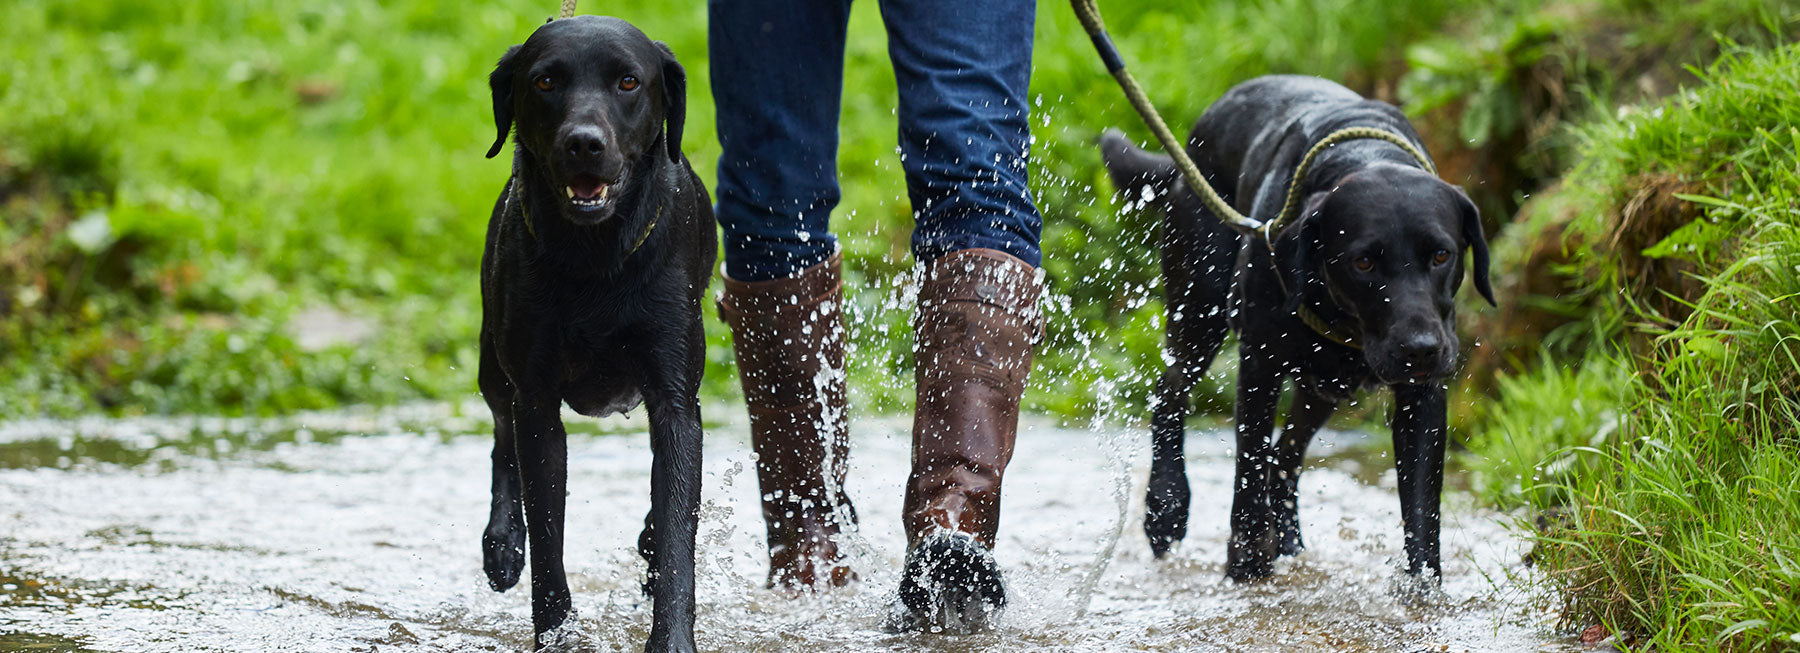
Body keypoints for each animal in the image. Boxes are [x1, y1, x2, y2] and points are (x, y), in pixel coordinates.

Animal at [478, 16, 716, 653]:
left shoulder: (675, 397)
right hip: (492, 363)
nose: (584, 142)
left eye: (629, 81)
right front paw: (555, 633)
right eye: (546, 80)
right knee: (501, 434)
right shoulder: (537, 401)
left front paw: (672, 638)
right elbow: (547, 534)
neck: (595, 261)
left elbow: (678, 526)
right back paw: (502, 542)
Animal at [1101, 75, 1497, 582]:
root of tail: (1190, 144)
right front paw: (1247, 564)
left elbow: (1423, 512)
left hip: (1323, 384)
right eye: (1364, 262)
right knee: (1170, 391)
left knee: (1285, 453)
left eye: (1442, 255)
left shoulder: (1423, 395)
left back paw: (1287, 539)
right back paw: (1166, 505)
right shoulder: (1258, 366)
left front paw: (1424, 589)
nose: (1420, 349)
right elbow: (1248, 467)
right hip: (1199, 312)